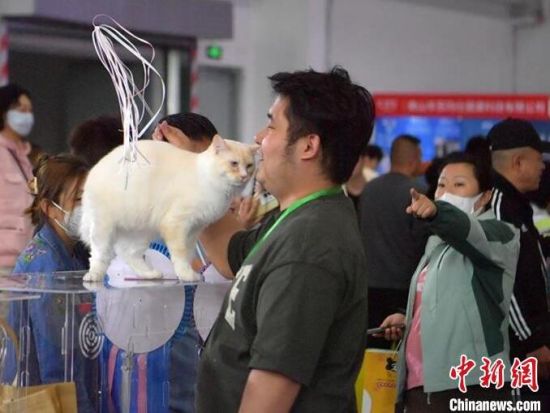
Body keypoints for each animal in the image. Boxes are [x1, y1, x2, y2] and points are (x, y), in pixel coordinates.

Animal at [79, 135, 257, 282]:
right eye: (234, 164)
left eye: (249, 166)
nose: (244, 177)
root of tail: (95, 169)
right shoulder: (177, 224)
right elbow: (180, 255)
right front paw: (186, 275)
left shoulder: (194, 229)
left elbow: (188, 254)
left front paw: (190, 274)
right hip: (104, 229)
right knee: (99, 256)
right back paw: (93, 276)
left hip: (142, 232)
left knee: (129, 254)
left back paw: (150, 274)